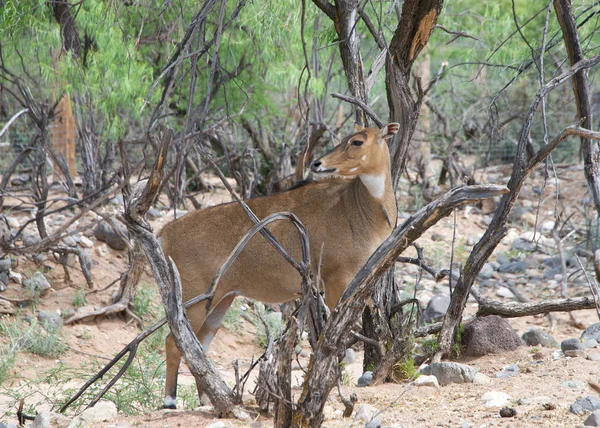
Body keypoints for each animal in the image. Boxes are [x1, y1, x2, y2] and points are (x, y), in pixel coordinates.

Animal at [161, 121, 398, 408]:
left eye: (357, 141)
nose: (317, 163)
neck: (359, 206)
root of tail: (165, 232)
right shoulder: (335, 279)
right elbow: (333, 338)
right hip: (193, 298)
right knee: (174, 341)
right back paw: (170, 400)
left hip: (221, 299)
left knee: (200, 346)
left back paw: (210, 399)